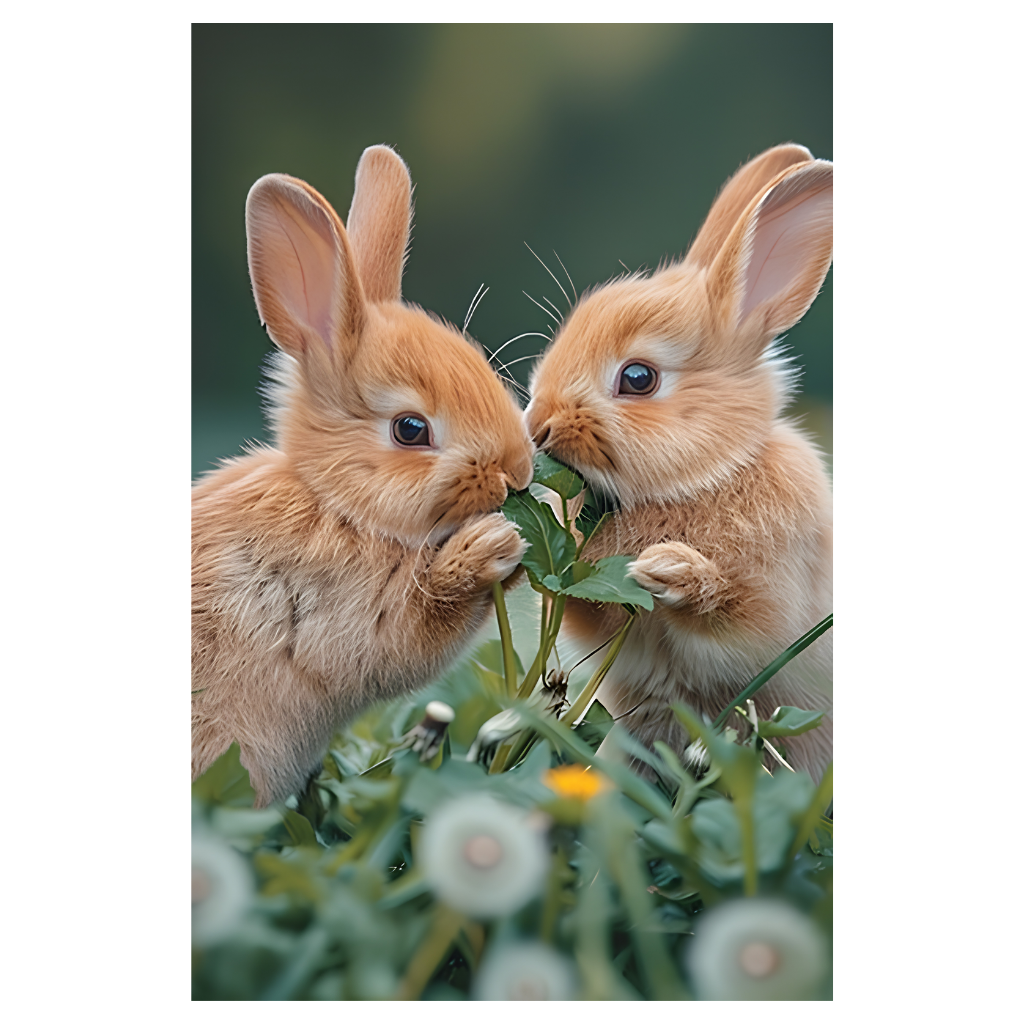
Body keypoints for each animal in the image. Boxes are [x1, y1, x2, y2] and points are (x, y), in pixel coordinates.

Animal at [192, 146, 534, 807]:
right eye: (410, 429)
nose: (517, 474)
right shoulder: (346, 614)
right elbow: (419, 629)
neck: (337, 502)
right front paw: (491, 548)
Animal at [524, 144, 833, 780]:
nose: (537, 424)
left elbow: (740, 622)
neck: (708, 477)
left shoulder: (778, 605)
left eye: (638, 378)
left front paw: (669, 570)